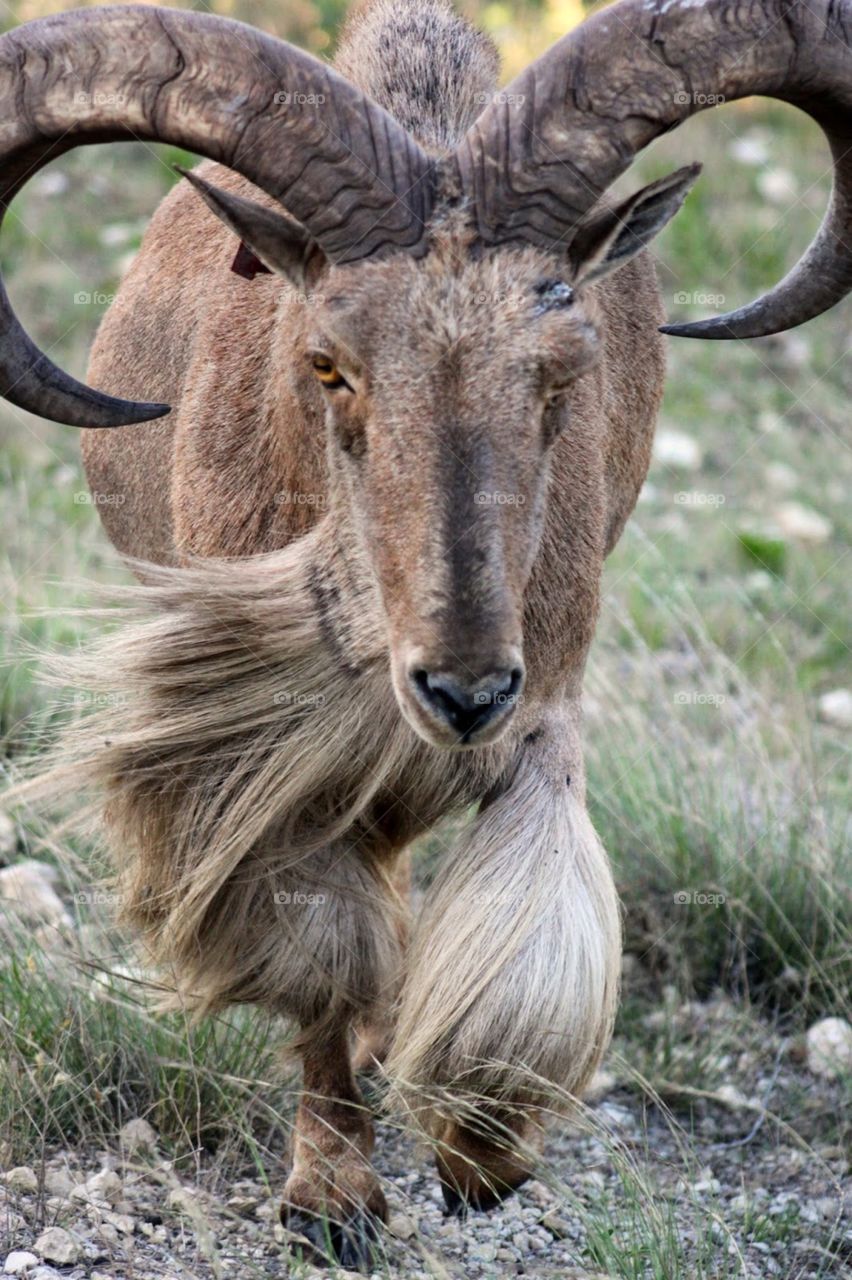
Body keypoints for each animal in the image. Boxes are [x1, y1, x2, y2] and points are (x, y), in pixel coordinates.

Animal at [2, 0, 851, 1267]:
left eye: (563, 369)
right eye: (327, 364)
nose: (460, 691)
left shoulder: (544, 692)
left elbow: (524, 896)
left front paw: (482, 1154)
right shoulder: (261, 744)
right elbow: (320, 955)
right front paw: (332, 1200)